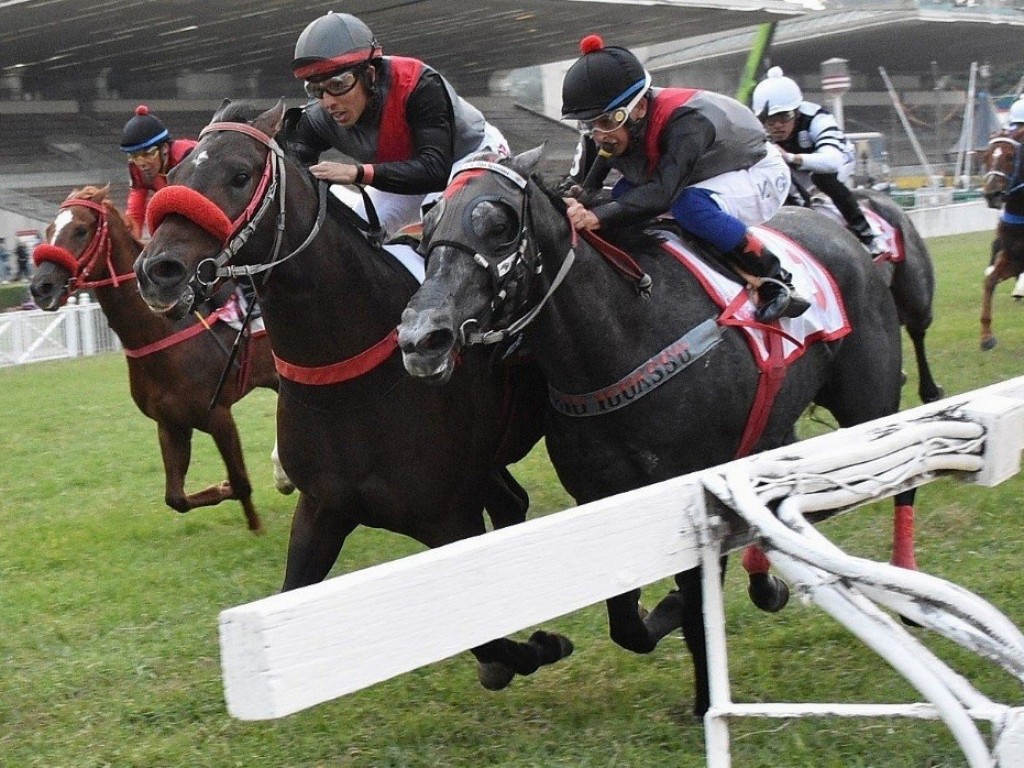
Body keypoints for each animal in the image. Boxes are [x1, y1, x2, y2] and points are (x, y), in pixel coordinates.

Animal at [30, 186, 288, 536]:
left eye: (80, 230)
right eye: (47, 231)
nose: (40, 287)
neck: (161, 330)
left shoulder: (218, 414)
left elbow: (241, 481)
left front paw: (256, 527)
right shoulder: (171, 423)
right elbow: (176, 498)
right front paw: (222, 490)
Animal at [132, 99, 573, 688]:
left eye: (240, 175)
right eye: (175, 174)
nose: (157, 270)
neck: (350, 379)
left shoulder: (448, 515)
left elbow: (491, 646)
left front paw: (541, 644)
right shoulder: (323, 510)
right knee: (511, 502)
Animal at [397, 148, 921, 716]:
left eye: (499, 224)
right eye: (426, 230)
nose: (422, 338)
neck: (622, 337)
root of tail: (840, 230)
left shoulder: (687, 487)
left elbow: (695, 606)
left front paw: (707, 695)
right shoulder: (600, 494)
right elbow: (628, 625)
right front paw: (663, 613)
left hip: (870, 399)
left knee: (906, 475)